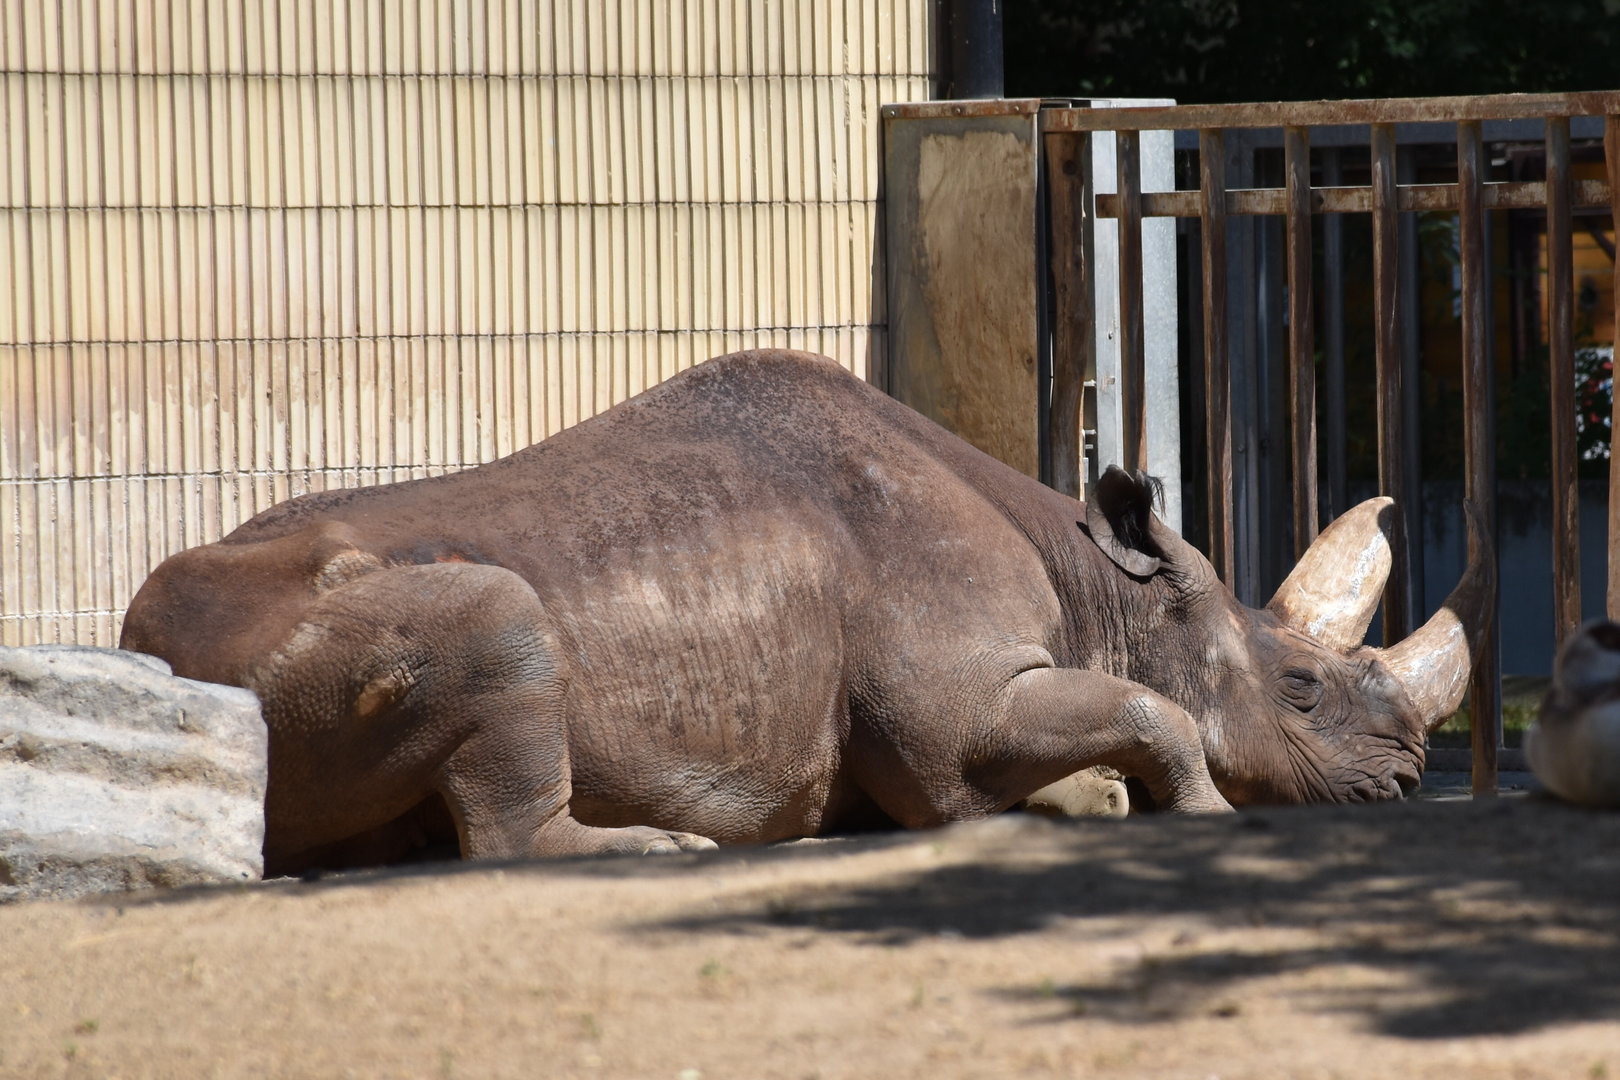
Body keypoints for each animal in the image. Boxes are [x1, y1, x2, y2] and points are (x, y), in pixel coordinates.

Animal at [120, 350, 1493, 872]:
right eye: (1303, 690)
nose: (1408, 783)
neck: (1109, 588)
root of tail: (138, 644)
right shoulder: (951, 709)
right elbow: (1146, 714)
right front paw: (1194, 812)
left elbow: (1115, 724)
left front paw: (1093, 801)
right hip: (291, 626)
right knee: (503, 618)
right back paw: (658, 854)